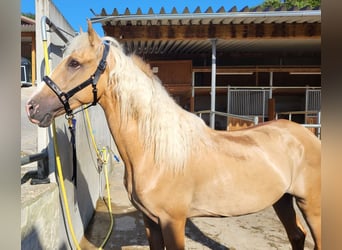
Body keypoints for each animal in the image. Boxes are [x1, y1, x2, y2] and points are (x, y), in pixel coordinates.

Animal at [26, 21, 320, 248]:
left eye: (74, 63)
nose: (32, 107)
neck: (156, 153)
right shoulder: (151, 221)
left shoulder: (173, 222)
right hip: (282, 200)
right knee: (297, 235)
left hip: (310, 205)